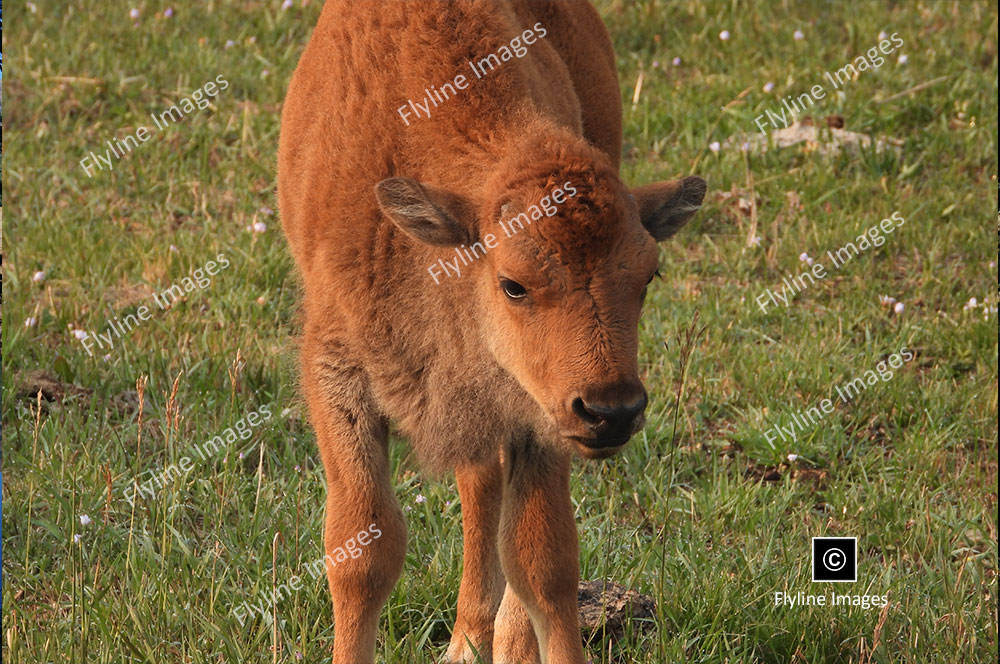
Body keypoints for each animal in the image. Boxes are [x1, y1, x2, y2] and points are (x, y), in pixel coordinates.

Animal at [278, 1, 708, 664]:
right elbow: (362, 550)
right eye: (513, 284)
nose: (612, 411)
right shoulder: (337, 375)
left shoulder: (539, 415)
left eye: (649, 275)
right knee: (477, 487)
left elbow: (543, 561)